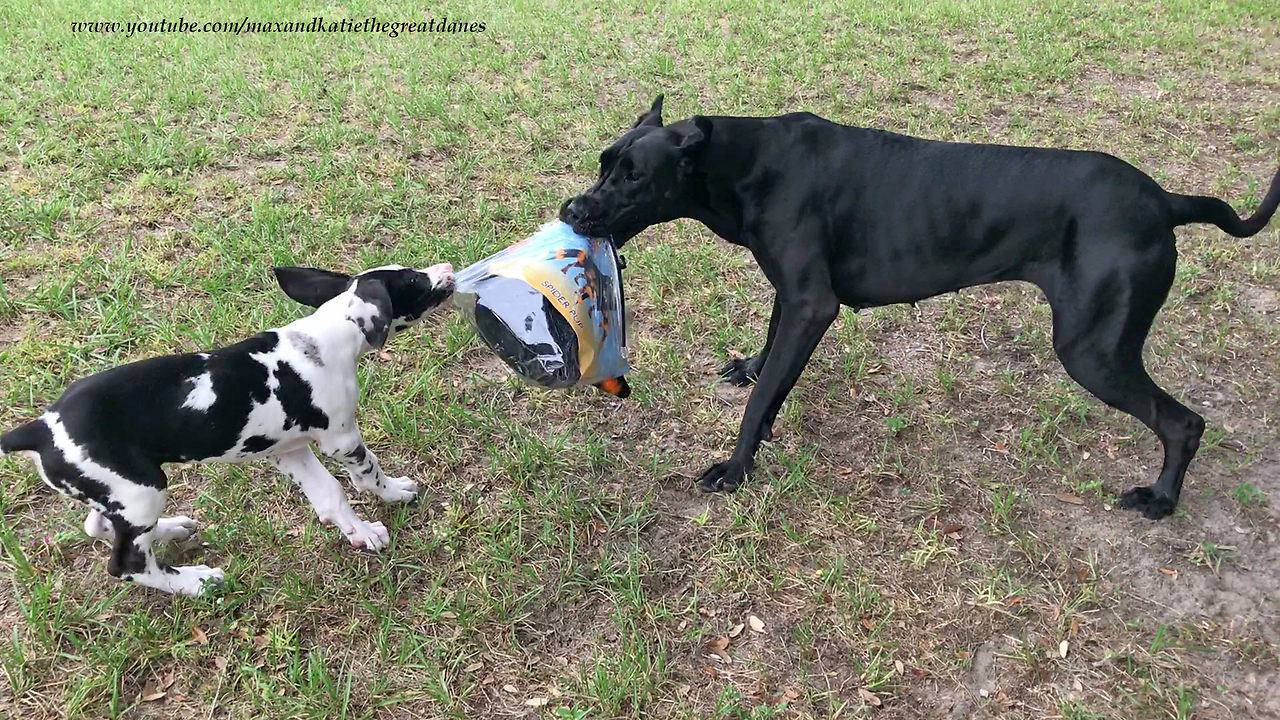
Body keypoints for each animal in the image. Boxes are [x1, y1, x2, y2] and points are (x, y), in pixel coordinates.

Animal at [0, 263, 458, 594]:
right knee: (127, 563)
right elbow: (367, 474)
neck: (324, 338)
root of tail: (39, 428)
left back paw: (171, 529)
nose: (447, 267)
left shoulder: (289, 451)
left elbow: (330, 496)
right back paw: (195, 582)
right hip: (143, 489)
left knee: (99, 526)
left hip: (118, 494)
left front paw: (357, 533)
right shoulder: (342, 440)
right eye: (414, 280)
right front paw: (392, 496)